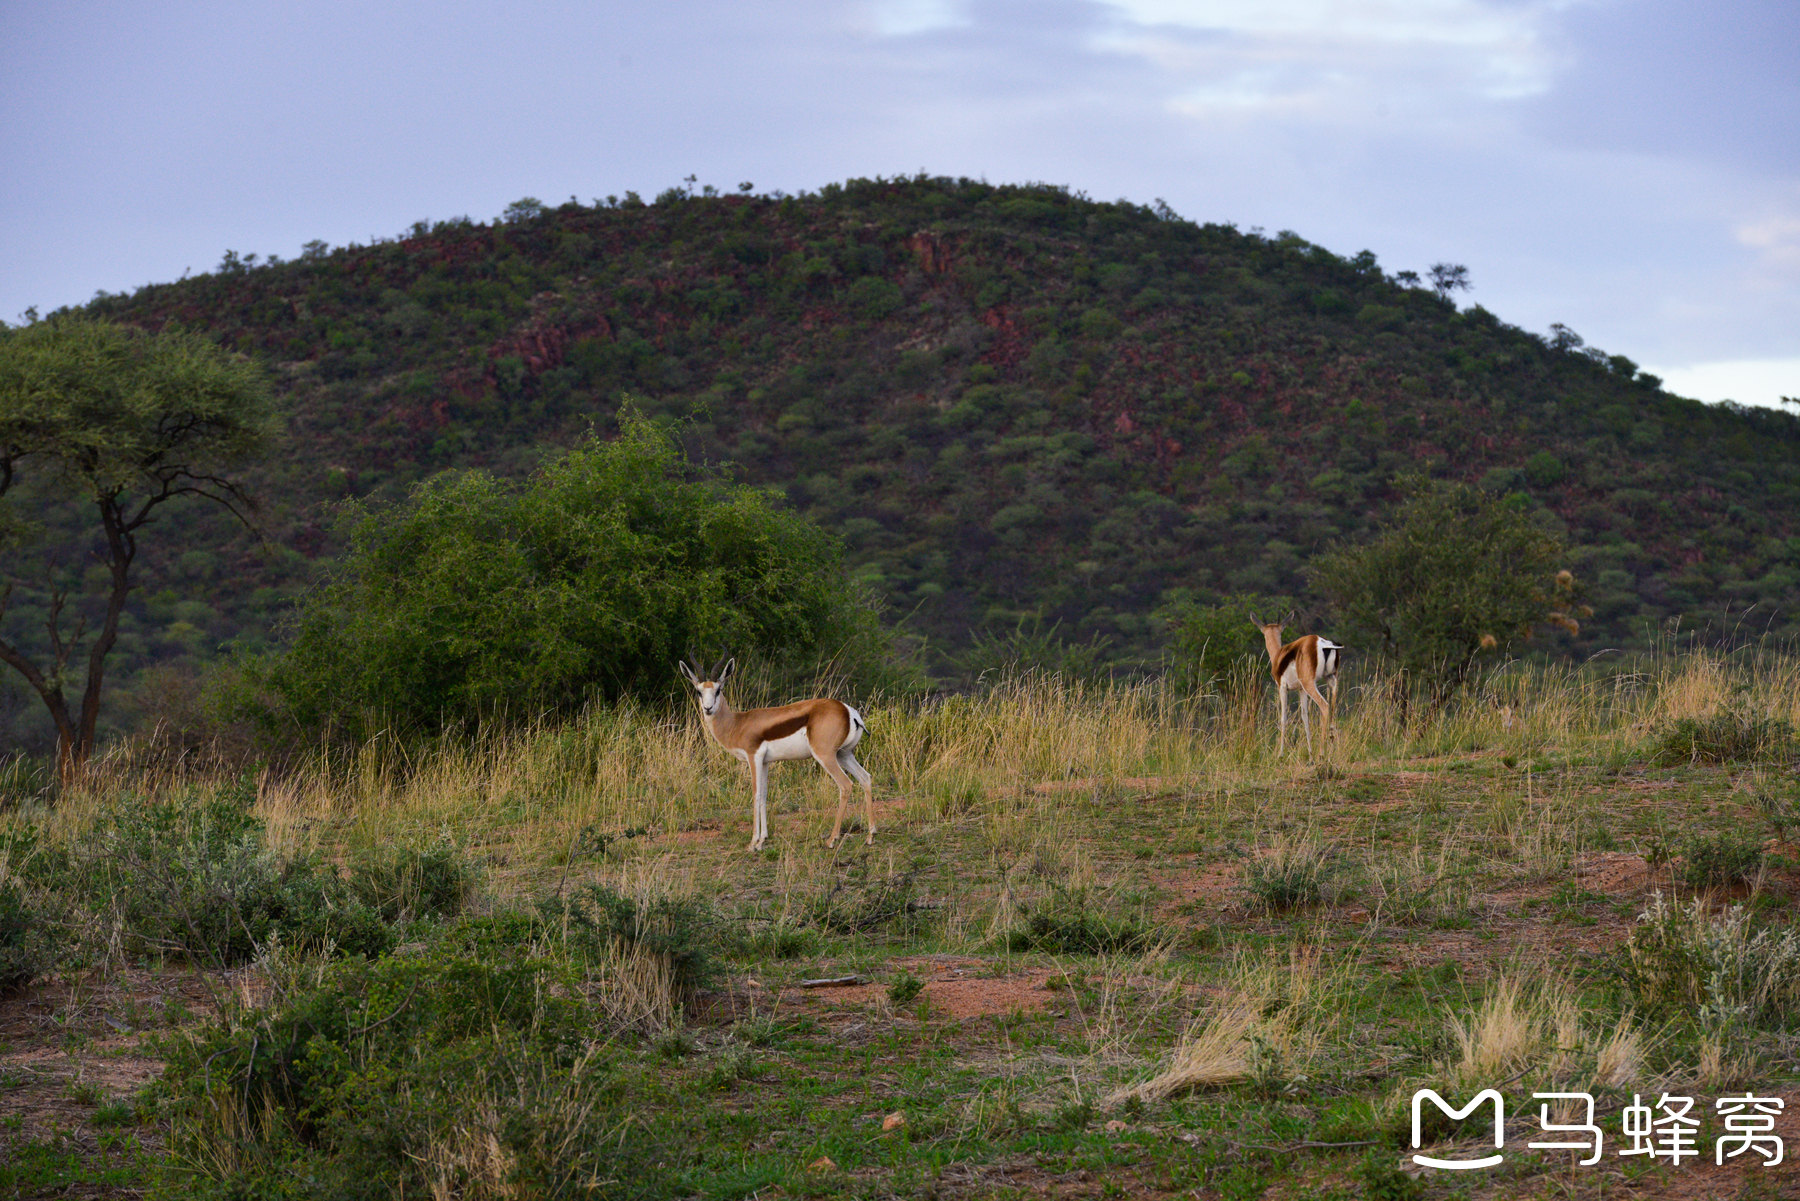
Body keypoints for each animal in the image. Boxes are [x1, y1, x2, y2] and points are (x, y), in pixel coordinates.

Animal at [676, 659, 874, 853]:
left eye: (718, 690)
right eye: (699, 691)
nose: (708, 708)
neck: (737, 724)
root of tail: (848, 711)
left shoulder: (753, 757)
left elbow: (756, 794)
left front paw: (752, 843)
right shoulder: (765, 762)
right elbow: (764, 795)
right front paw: (762, 841)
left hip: (826, 756)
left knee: (846, 785)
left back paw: (832, 840)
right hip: (843, 755)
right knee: (865, 777)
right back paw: (870, 836)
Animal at [1260, 615, 1346, 756]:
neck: (1280, 656)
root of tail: (1323, 643)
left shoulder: (1282, 687)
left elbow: (1283, 717)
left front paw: (1280, 754)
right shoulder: (1301, 690)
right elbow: (1304, 716)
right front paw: (1310, 752)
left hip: (1310, 684)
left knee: (1325, 706)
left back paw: (1321, 753)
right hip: (1331, 680)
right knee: (1333, 708)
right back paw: (1331, 749)